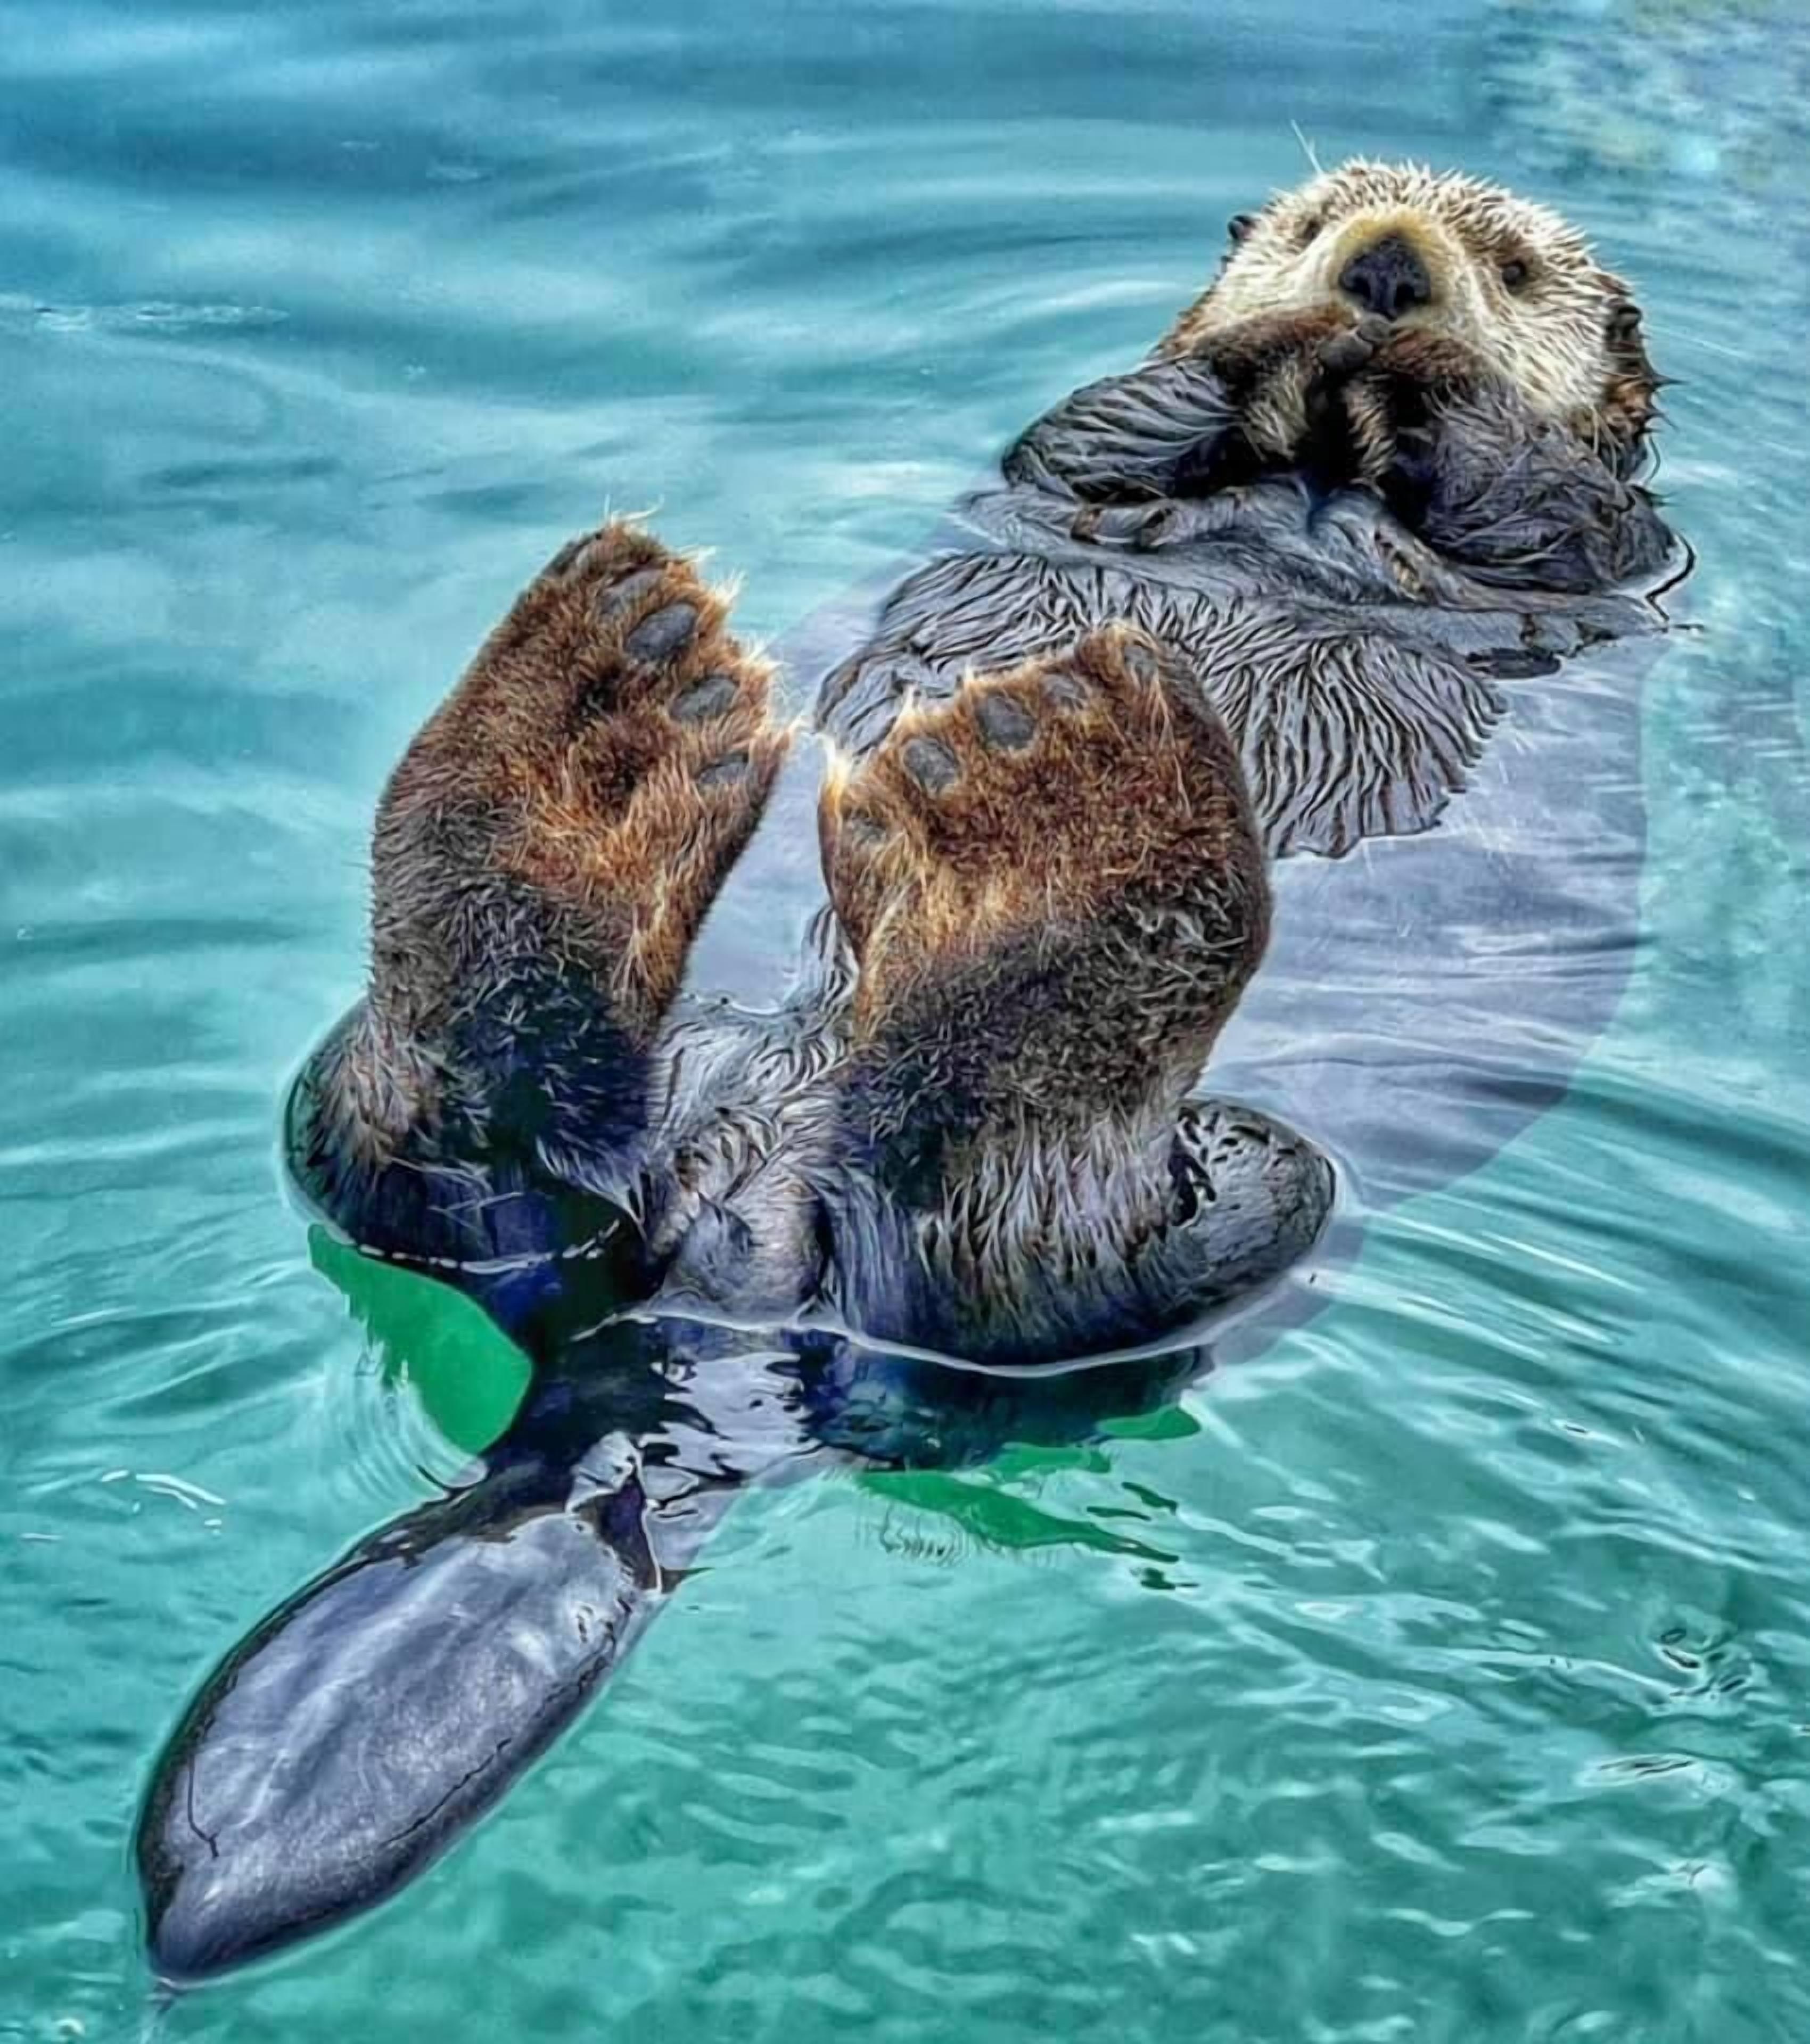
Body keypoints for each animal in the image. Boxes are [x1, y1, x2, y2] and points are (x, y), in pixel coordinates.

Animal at [137, 163, 1680, 1980]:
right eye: (1309, 220)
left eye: (1508, 265)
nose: (1381, 273)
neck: (1317, 466)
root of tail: (694, 1346)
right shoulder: (1072, 462)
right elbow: (1090, 432)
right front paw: (1259, 351)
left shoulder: (1614, 557)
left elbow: (1549, 506)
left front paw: (1420, 380)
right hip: (488, 1133)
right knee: (432, 1158)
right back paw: (594, 720)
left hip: (1239, 1211)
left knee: (985, 1251)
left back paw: (1045, 817)